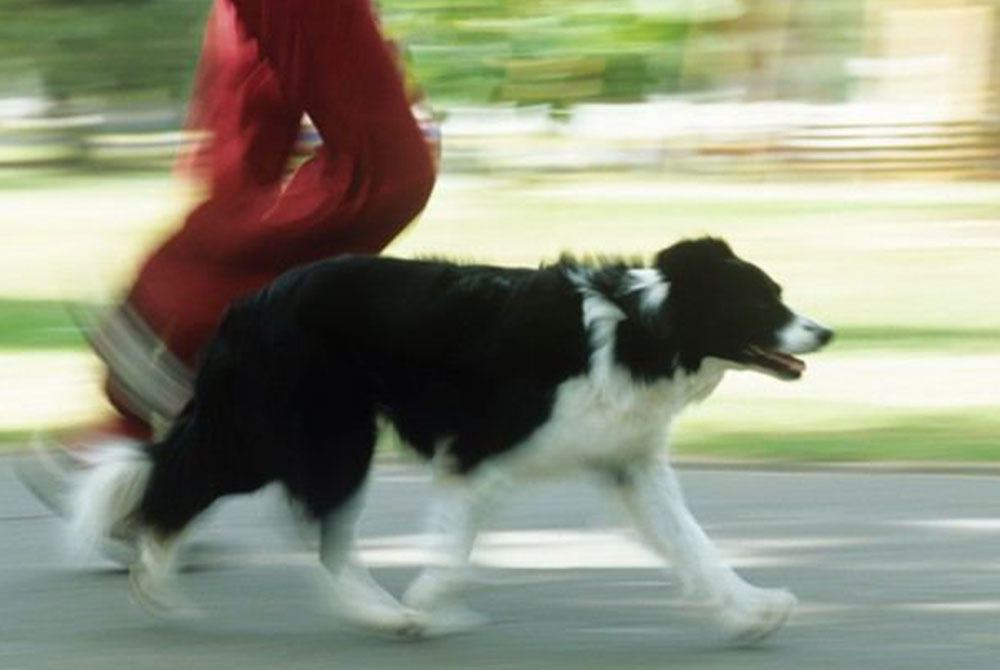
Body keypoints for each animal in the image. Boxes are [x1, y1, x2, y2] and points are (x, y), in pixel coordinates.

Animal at [72, 239, 828, 644]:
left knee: (209, 489)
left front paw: (754, 611)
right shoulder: (478, 454)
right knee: (223, 498)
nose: (826, 331)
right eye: (763, 301)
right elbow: (456, 556)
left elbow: (696, 546)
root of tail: (249, 301)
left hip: (289, 433)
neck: (645, 329)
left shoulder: (630, 464)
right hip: (320, 433)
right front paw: (433, 603)